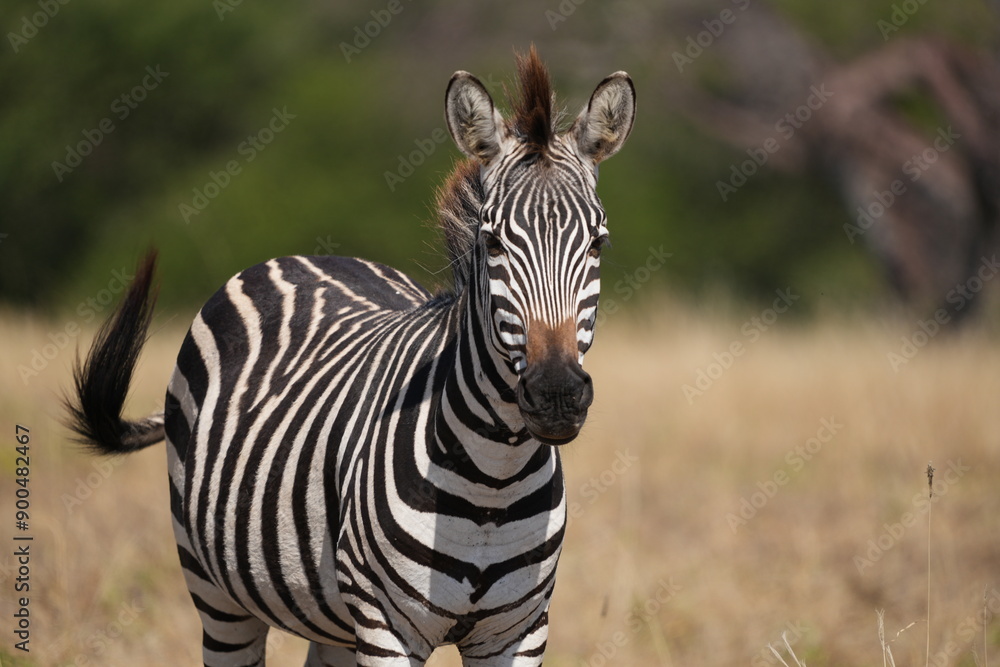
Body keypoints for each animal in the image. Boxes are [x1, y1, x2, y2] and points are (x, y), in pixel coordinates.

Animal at [66, 48, 635, 666]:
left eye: (599, 243)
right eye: (492, 243)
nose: (556, 394)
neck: (493, 479)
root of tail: (305, 257)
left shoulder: (521, 631)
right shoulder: (386, 626)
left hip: (331, 618)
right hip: (215, 589)